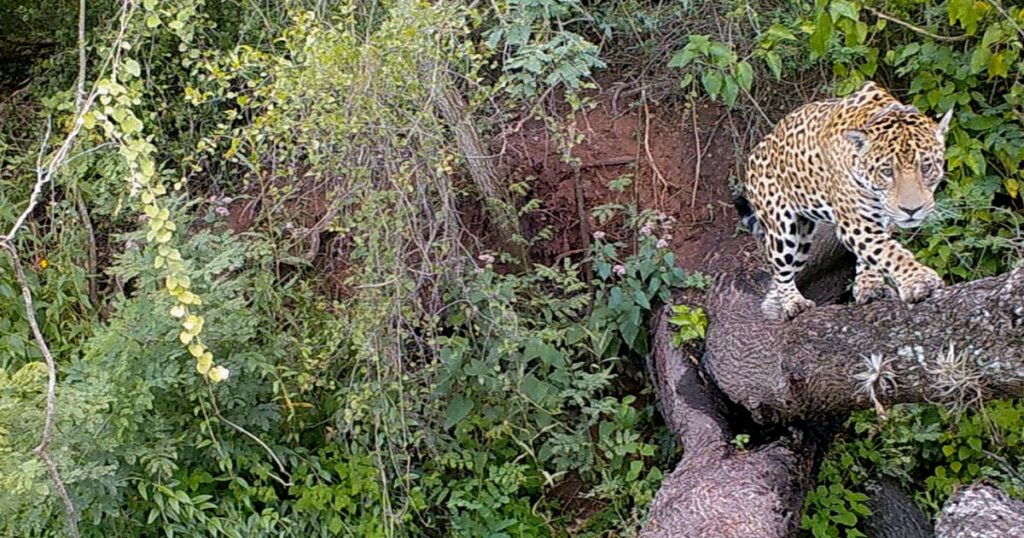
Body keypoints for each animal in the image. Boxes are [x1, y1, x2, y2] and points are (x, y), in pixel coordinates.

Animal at [739, 81, 954, 321]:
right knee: (779, 266)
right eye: (887, 171)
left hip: (803, 237)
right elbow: (889, 251)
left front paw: (869, 286)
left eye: (926, 166)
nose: (911, 210)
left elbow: (874, 253)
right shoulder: (856, 221)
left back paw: (775, 304)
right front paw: (919, 280)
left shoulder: (881, 219)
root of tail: (757, 149)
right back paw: (792, 303)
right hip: (782, 227)